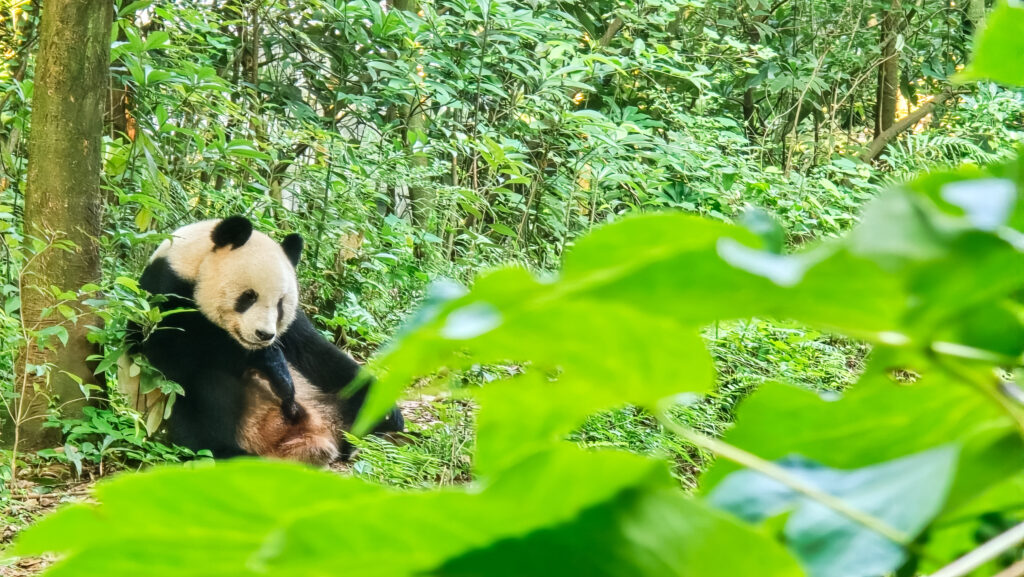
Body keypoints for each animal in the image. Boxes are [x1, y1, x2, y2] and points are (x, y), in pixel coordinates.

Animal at [133, 215, 404, 464]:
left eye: (280, 304)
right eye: (249, 296)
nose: (264, 335)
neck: (190, 262)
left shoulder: (295, 328)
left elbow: (316, 352)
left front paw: (388, 410)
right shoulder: (165, 296)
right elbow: (178, 353)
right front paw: (272, 365)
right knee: (204, 391)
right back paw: (230, 453)